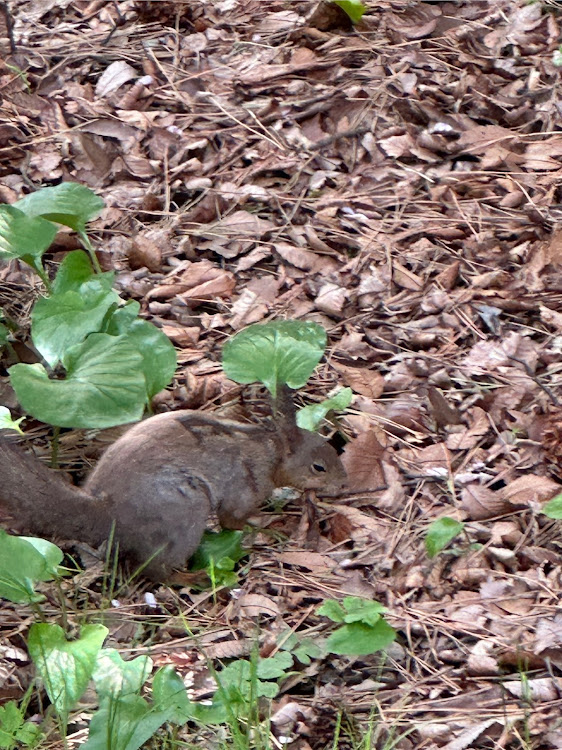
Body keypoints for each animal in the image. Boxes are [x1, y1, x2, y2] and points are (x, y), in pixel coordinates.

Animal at [0, 390, 344, 584]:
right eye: (319, 467)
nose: (343, 483)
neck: (267, 451)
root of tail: (107, 515)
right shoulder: (243, 484)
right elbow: (234, 519)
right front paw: (269, 527)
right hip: (184, 512)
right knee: (157, 572)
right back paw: (194, 577)